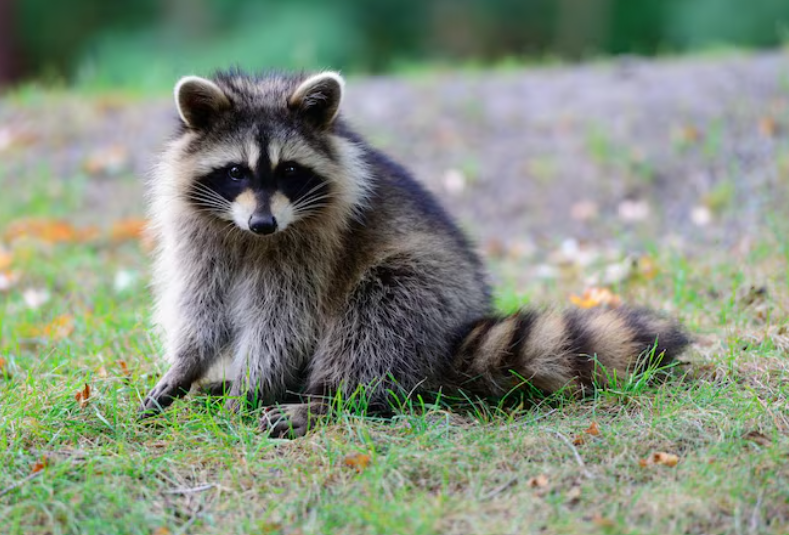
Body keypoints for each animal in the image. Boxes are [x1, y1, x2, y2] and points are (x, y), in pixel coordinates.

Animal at [141, 70, 689, 437]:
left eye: (289, 171)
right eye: (236, 172)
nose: (263, 223)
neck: (248, 237)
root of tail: (456, 334)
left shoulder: (312, 248)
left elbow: (283, 323)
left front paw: (253, 388)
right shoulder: (201, 236)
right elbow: (202, 308)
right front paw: (187, 367)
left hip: (424, 289)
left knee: (377, 317)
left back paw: (328, 399)